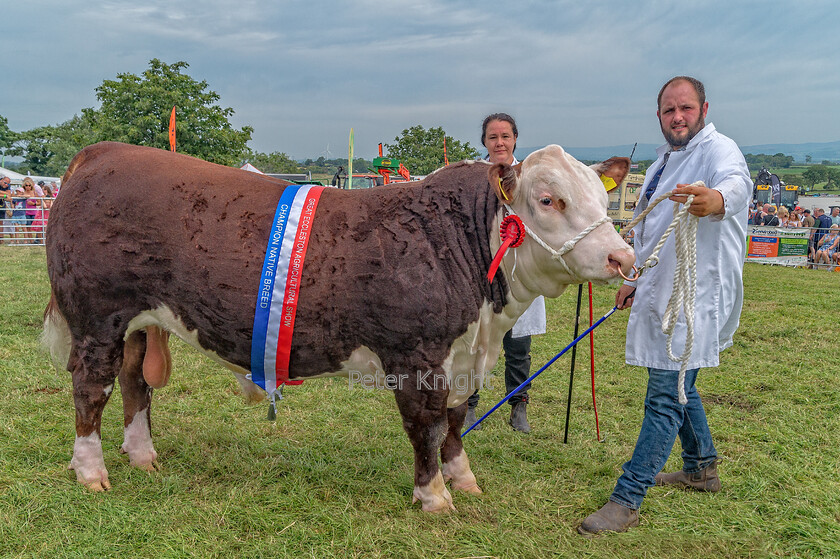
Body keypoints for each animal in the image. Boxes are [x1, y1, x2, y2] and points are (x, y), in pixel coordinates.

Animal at [42, 141, 632, 512]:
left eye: (602, 197)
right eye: (548, 199)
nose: (622, 257)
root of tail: (103, 152)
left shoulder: (464, 357)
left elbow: (456, 422)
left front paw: (464, 481)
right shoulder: (416, 356)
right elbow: (428, 425)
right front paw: (434, 497)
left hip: (139, 322)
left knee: (135, 382)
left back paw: (142, 456)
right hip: (97, 318)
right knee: (90, 388)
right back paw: (91, 471)